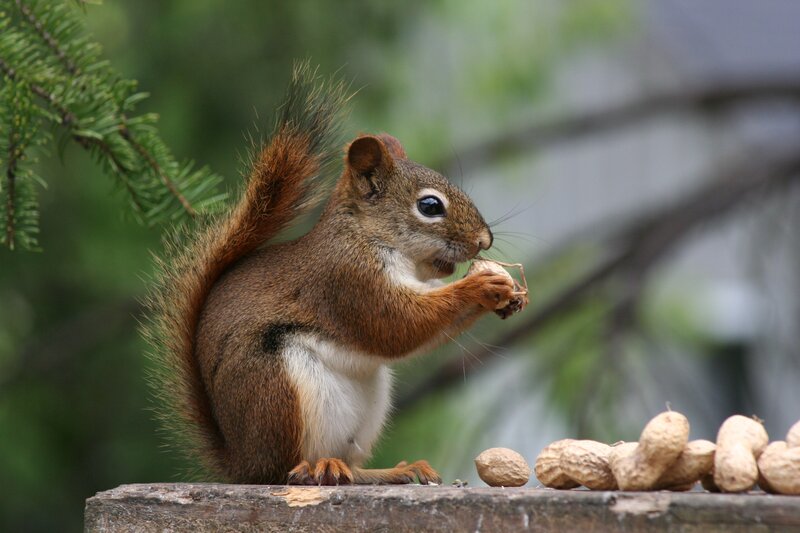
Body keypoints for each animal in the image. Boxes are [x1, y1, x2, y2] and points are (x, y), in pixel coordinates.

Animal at [143, 63, 521, 486]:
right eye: (429, 206)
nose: (484, 240)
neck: (372, 237)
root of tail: (241, 464)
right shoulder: (347, 279)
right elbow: (397, 325)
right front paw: (480, 285)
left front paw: (505, 294)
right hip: (276, 388)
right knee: (281, 470)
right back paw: (311, 469)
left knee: (351, 467)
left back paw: (389, 470)